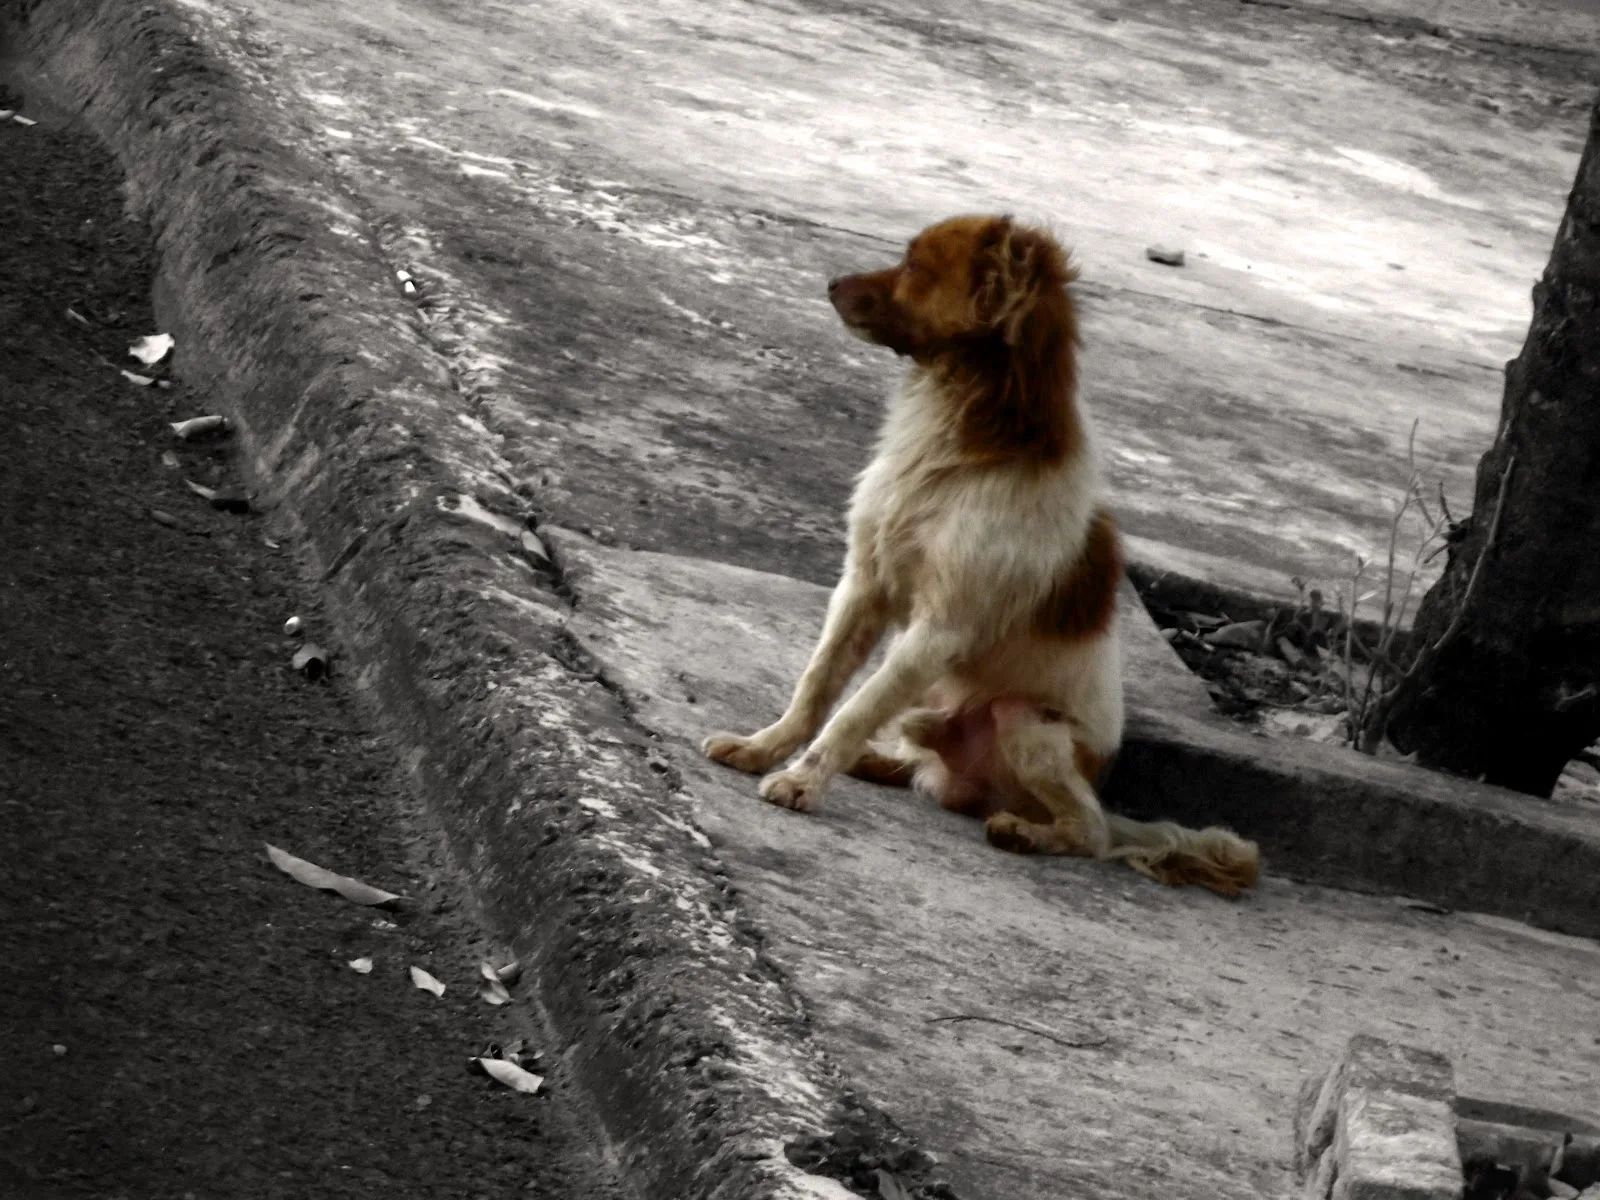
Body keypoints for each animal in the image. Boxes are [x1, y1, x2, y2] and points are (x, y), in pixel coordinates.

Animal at [707, 216, 1254, 896]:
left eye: (916, 267)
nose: (831, 281)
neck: (960, 438)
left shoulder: (939, 627)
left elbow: (853, 709)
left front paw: (803, 782)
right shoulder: (864, 586)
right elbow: (817, 688)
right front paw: (764, 747)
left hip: (1027, 725)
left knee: (1090, 832)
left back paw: (1025, 832)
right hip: (932, 710)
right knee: (915, 750)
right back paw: (883, 761)